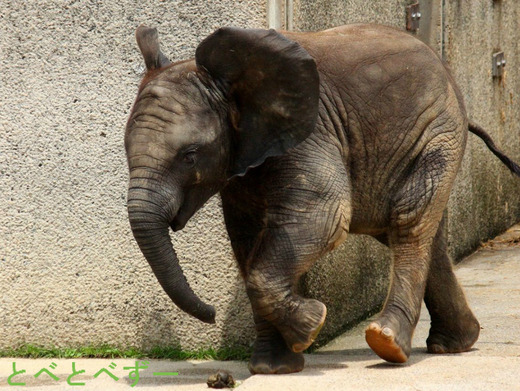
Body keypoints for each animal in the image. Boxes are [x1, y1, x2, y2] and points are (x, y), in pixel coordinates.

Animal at [127, 23, 520, 374]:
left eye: (190, 156)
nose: (209, 314)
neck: (229, 83)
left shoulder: (312, 132)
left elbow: (325, 215)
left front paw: (311, 325)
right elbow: (247, 240)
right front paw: (273, 367)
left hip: (438, 132)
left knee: (409, 218)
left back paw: (388, 343)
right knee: (417, 229)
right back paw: (454, 343)